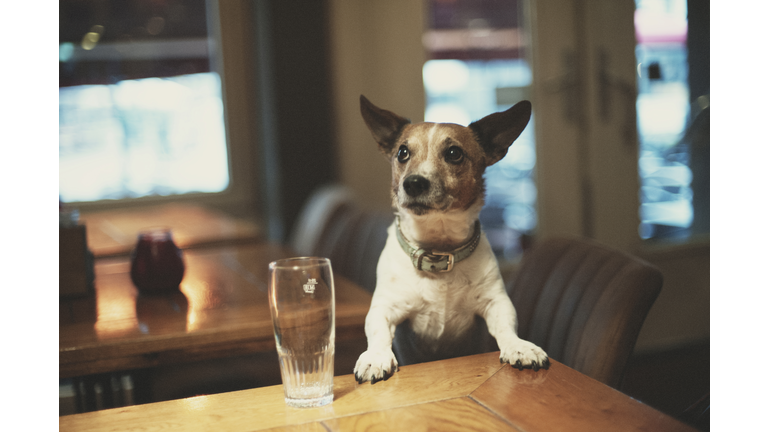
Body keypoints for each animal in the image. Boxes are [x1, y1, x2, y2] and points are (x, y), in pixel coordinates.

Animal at [352, 95, 548, 384]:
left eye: (454, 153)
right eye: (402, 152)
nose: (413, 183)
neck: (437, 249)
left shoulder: (496, 302)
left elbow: (506, 327)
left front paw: (520, 346)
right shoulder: (385, 306)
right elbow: (378, 331)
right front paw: (375, 357)